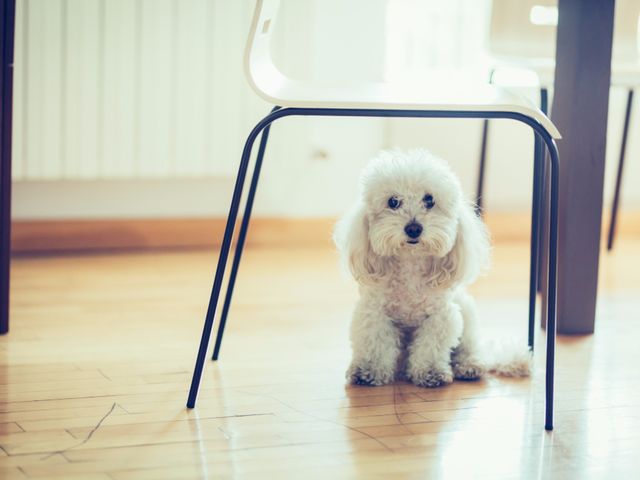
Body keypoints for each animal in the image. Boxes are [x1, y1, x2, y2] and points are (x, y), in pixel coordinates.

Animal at [336, 148, 528, 388]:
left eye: (429, 200)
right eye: (393, 201)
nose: (414, 228)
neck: (410, 265)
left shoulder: (440, 315)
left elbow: (430, 347)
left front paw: (430, 372)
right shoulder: (374, 312)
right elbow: (376, 344)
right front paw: (369, 371)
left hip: (467, 313)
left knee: (468, 348)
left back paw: (469, 366)